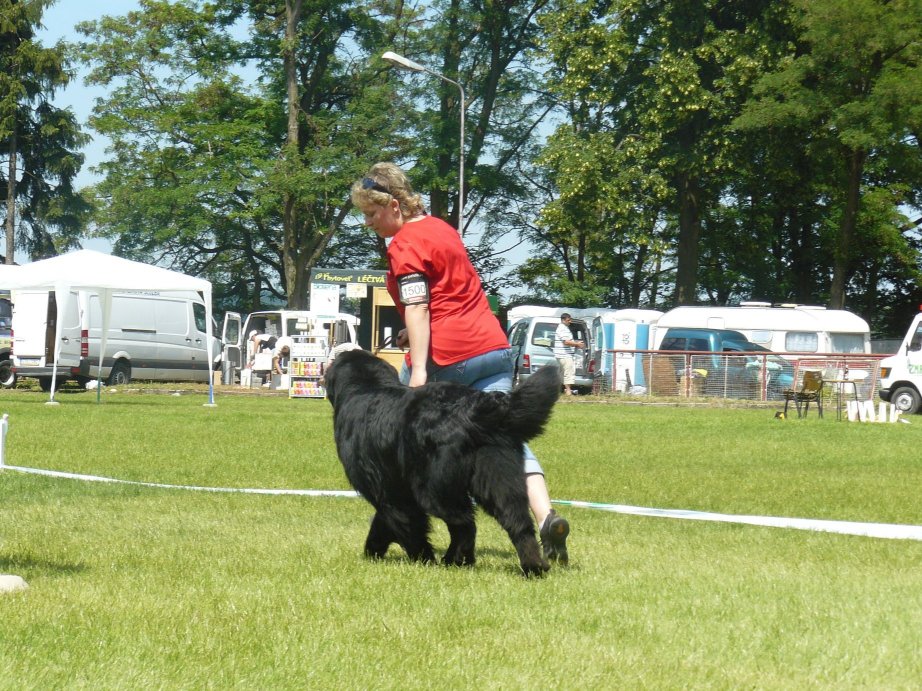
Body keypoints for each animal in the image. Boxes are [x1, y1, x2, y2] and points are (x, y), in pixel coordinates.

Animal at [328, 348, 560, 576]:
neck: (366, 386)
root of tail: (476, 407)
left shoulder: (391, 493)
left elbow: (408, 527)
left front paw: (422, 558)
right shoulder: (395, 492)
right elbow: (383, 523)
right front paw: (373, 550)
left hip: (435, 489)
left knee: (464, 523)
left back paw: (455, 560)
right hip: (497, 475)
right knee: (517, 521)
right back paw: (533, 566)